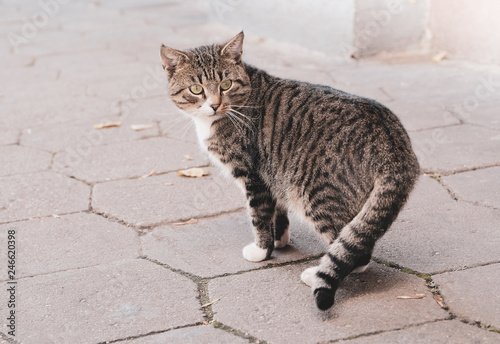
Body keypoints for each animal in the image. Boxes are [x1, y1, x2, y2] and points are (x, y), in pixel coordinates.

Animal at [159, 33, 418, 312]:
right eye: (197, 89)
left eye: (226, 84)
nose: (215, 105)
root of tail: (394, 142)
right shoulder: (276, 175)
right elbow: (277, 211)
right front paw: (279, 239)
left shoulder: (253, 177)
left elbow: (259, 217)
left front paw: (262, 250)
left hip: (317, 194)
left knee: (355, 249)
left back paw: (315, 273)